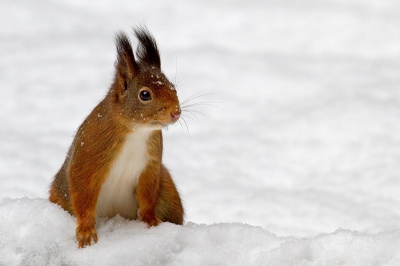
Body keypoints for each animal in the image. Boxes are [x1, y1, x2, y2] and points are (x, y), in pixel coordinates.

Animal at [48, 26, 184, 247]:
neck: (136, 130)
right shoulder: (91, 152)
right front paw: (86, 230)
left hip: (168, 190)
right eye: (145, 94)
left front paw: (151, 221)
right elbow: (82, 189)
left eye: (174, 88)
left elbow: (147, 196)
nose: (176, 112)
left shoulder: (150, 164)